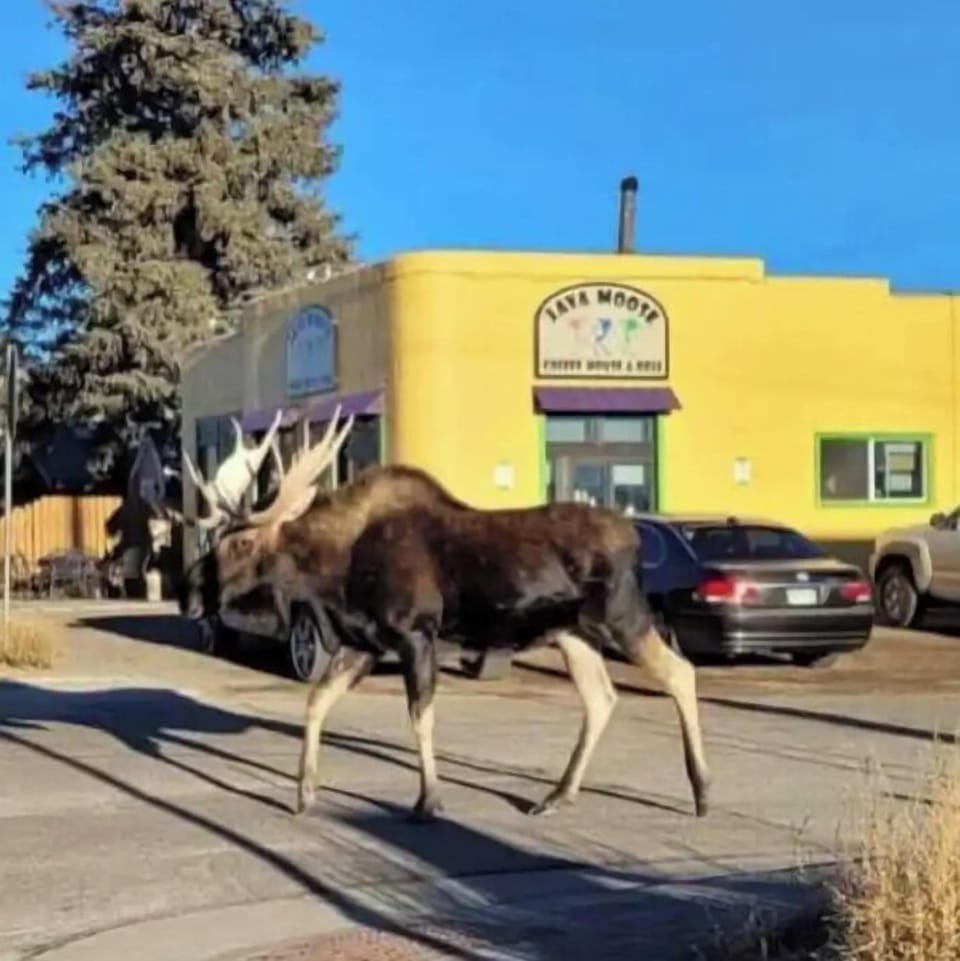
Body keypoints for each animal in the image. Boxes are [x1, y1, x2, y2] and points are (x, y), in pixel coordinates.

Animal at [176, 407, 713, 823]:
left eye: (241, 543)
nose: (190, 594)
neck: (335, 569)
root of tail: (636, 537)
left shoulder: (415, 633)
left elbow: (421, 716)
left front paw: (428, 801)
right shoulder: (364, 642)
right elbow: (316, 702)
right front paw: (305, 792)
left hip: (622, 616)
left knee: (680, 672)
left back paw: (702, 791)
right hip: (572, 632)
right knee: (601, 697)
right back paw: (557, 795)